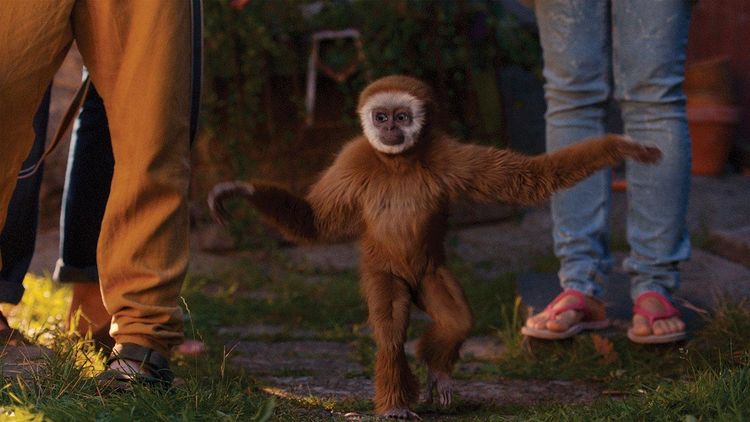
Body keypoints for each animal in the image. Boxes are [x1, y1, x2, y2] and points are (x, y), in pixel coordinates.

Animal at [208, 75, 661, 419]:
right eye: (381, 116)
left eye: (402, 117)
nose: (389, 128)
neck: (397, 162)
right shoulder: (353, 160)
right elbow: (315, 222)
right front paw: (242, 190)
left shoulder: (450, 156)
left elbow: (528, 179)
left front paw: (620, 147)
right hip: (383, 271)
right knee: (392, 328)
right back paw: (397, 399)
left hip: (432, 272)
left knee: (456, 319)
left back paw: (436, 368)